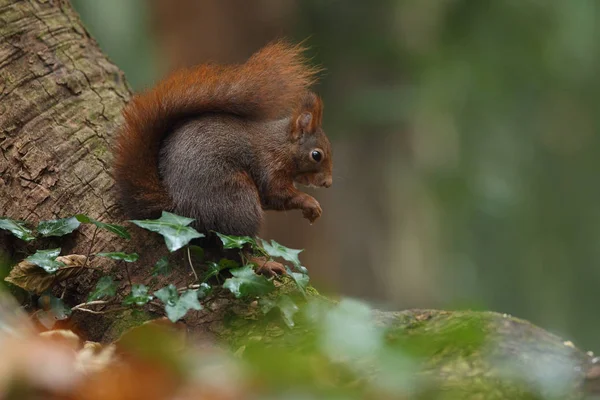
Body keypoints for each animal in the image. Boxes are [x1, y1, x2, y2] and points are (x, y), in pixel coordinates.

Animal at [112, 42, 332, 276]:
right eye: (316, 155)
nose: (328, 183)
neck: (281, 146)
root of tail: (179, 211)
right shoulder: (268, 165)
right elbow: (277, 194)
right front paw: (310, 203)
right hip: (237, 201)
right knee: (233, 251)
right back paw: (262, 263)